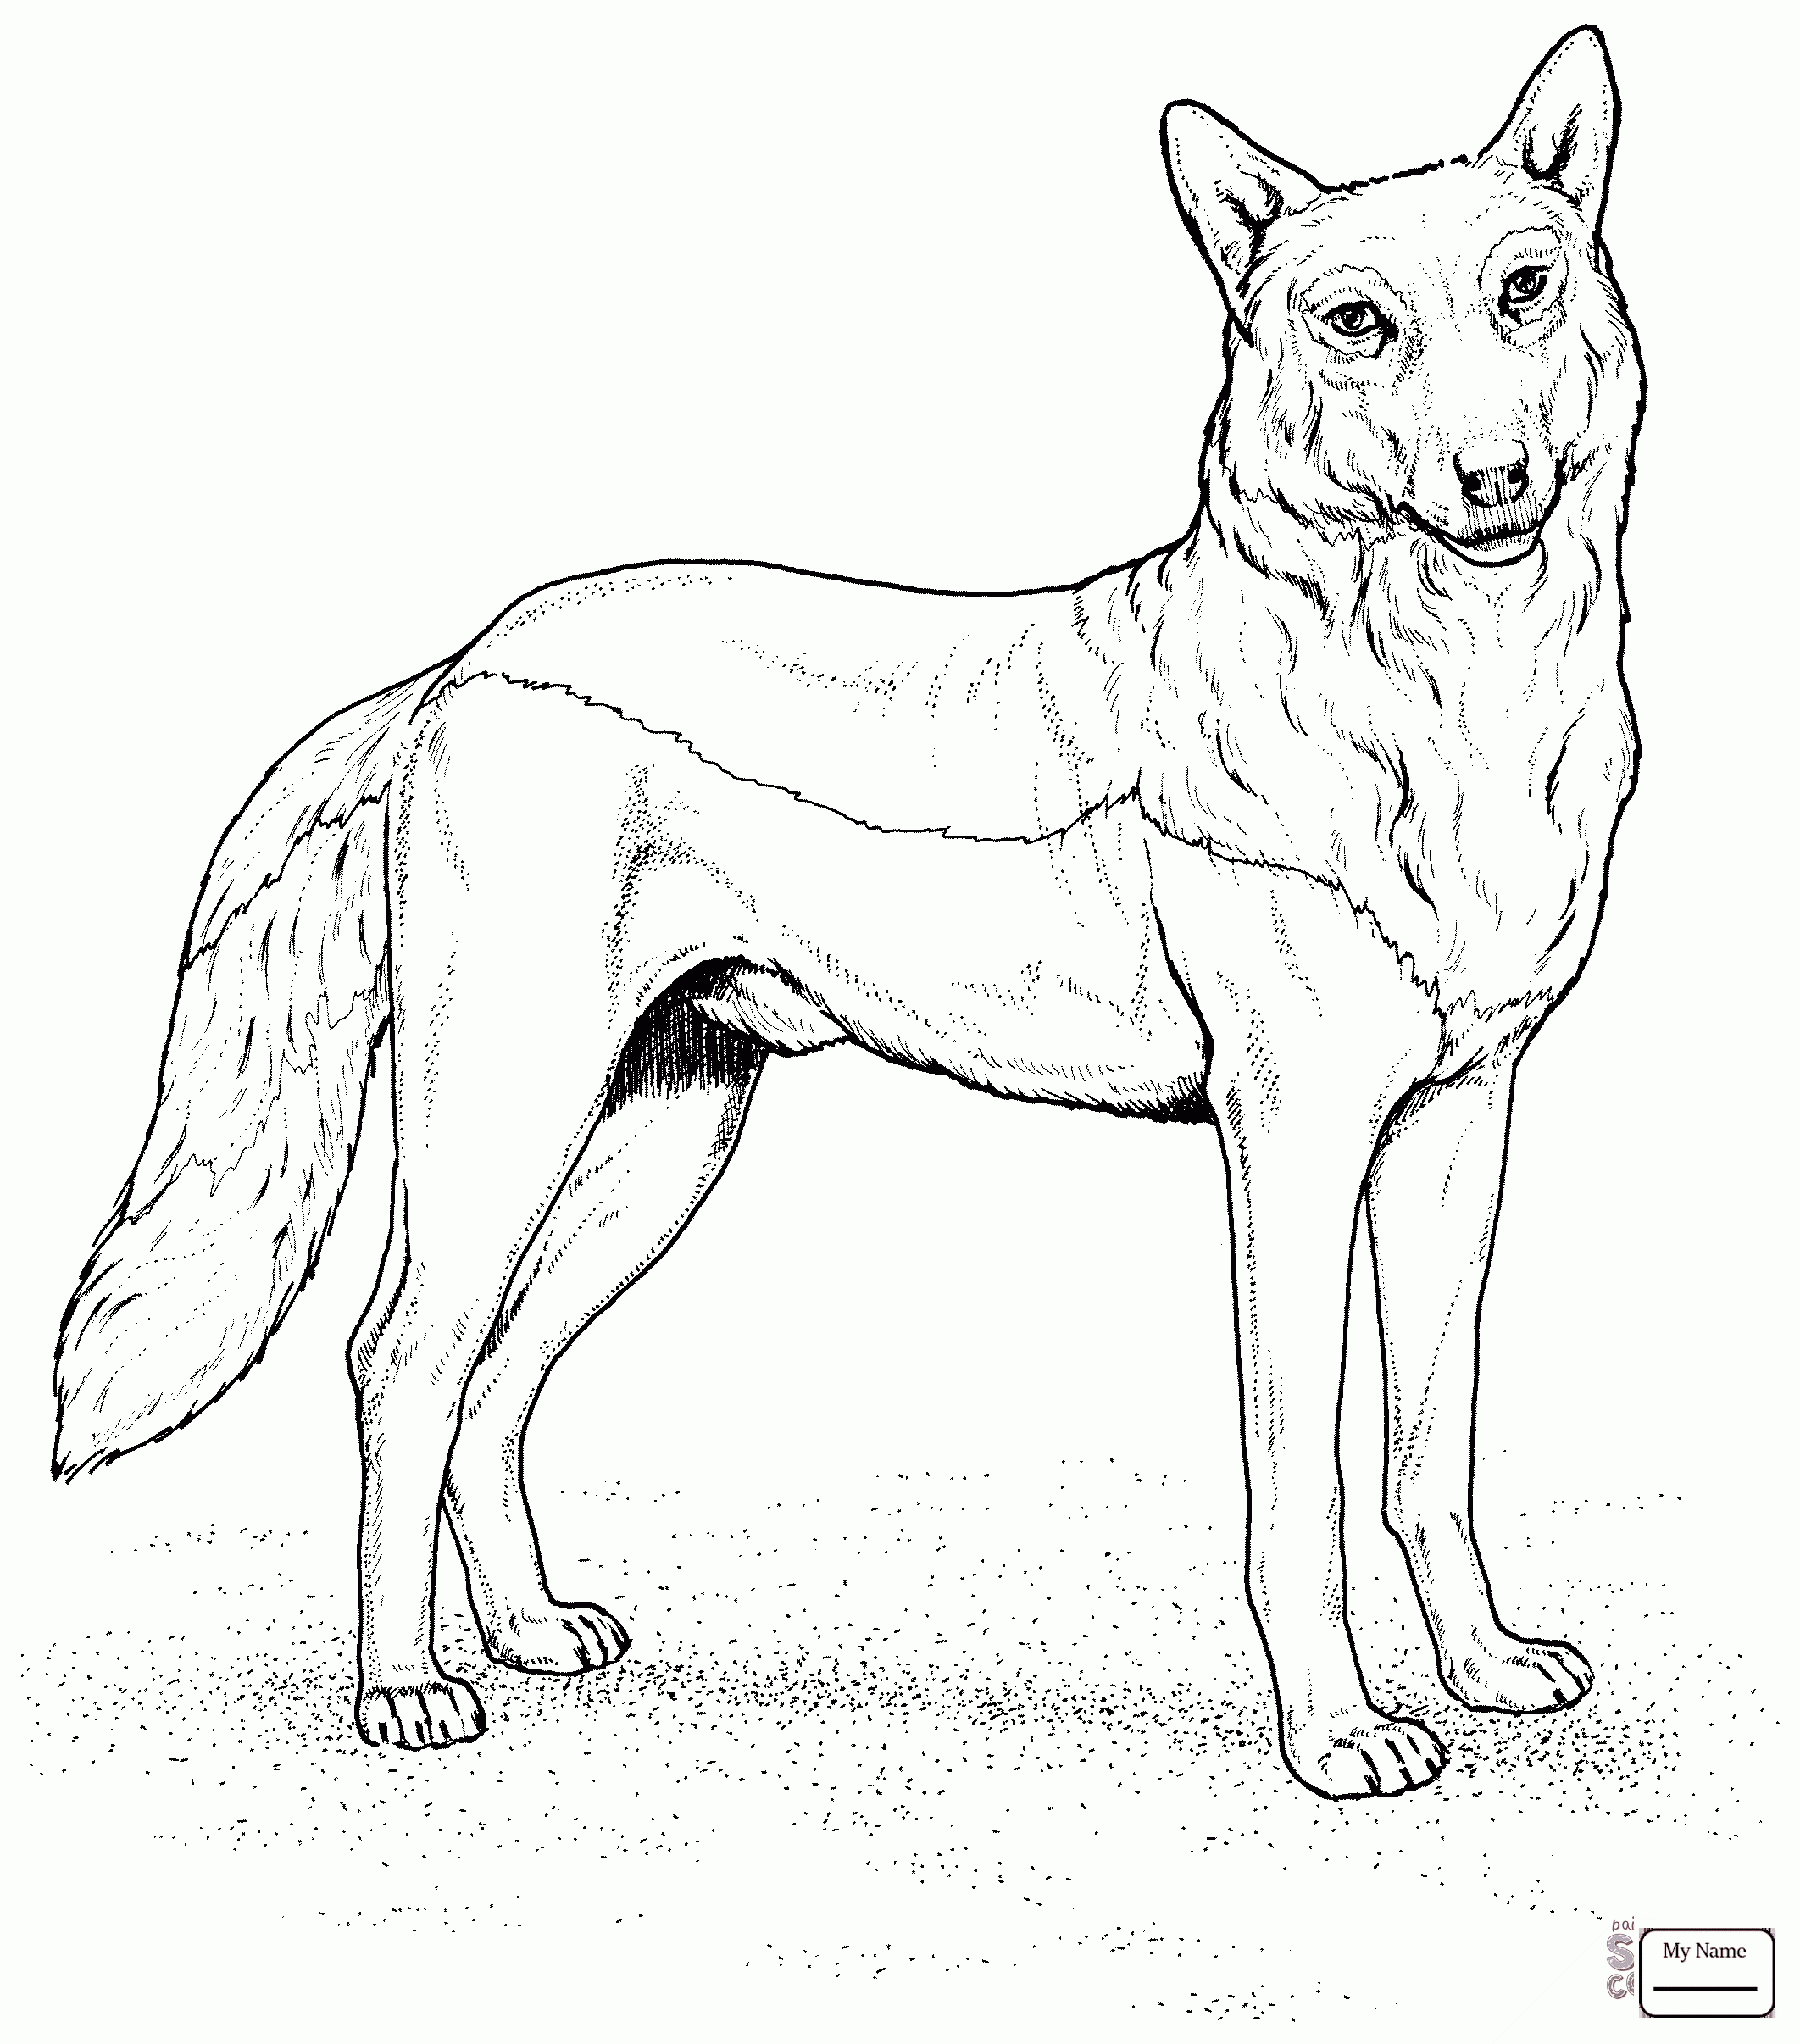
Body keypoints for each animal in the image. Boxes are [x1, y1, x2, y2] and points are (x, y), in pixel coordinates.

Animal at [54, 28, 1642, 1798]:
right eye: (1355, 323)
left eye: (1521, 289)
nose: (1493, 477)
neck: (1436, 695)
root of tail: (461, 662)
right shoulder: (1291, 1143)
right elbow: (1300, 1485)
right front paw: (1338, 1729)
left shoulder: (1454, 1123)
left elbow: (1428, 1446)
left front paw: (1481, 1666)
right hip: (502, 1113)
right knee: (400, 1359)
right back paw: (403, 1685)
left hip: (656, 1139)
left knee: (494, 1375)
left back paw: (527, 1629)